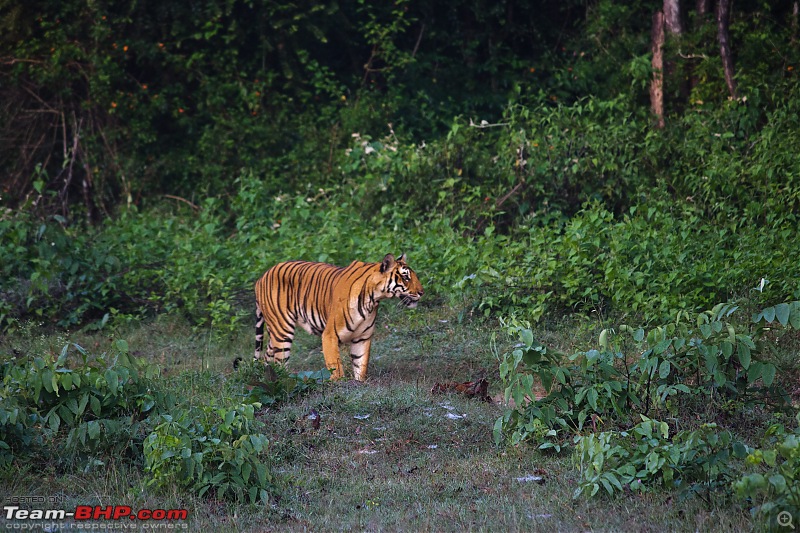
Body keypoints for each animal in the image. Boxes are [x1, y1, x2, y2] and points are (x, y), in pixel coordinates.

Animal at [253, 252, 422, 380]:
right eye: (406, 277)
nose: (422, 292)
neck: (373, 298)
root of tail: (261, 277)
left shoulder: (362, 338)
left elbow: (360, 366)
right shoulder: (330, 335)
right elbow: (336, 368)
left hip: (274, 332)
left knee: (267, 357)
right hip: (282, 330)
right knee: (280, 361)